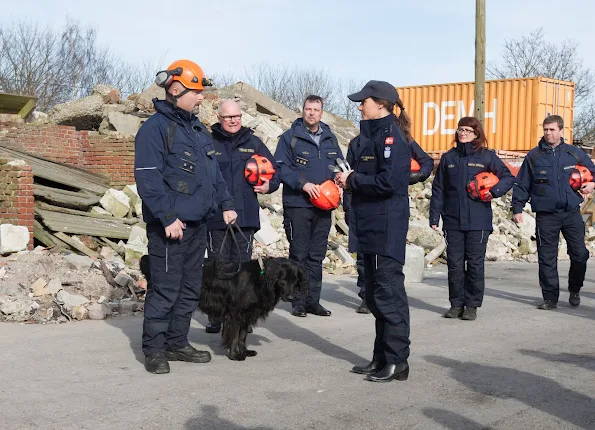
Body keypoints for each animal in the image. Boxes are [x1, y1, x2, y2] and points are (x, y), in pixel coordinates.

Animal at [140, 256, 308, 362]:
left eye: (295, 280)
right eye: (283, 280)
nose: (291, 297)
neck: (259, 278)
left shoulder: (246, 315)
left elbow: (242, 336)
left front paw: (244, 351)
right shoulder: (234, 313)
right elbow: (233, 336)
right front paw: (235, 355)